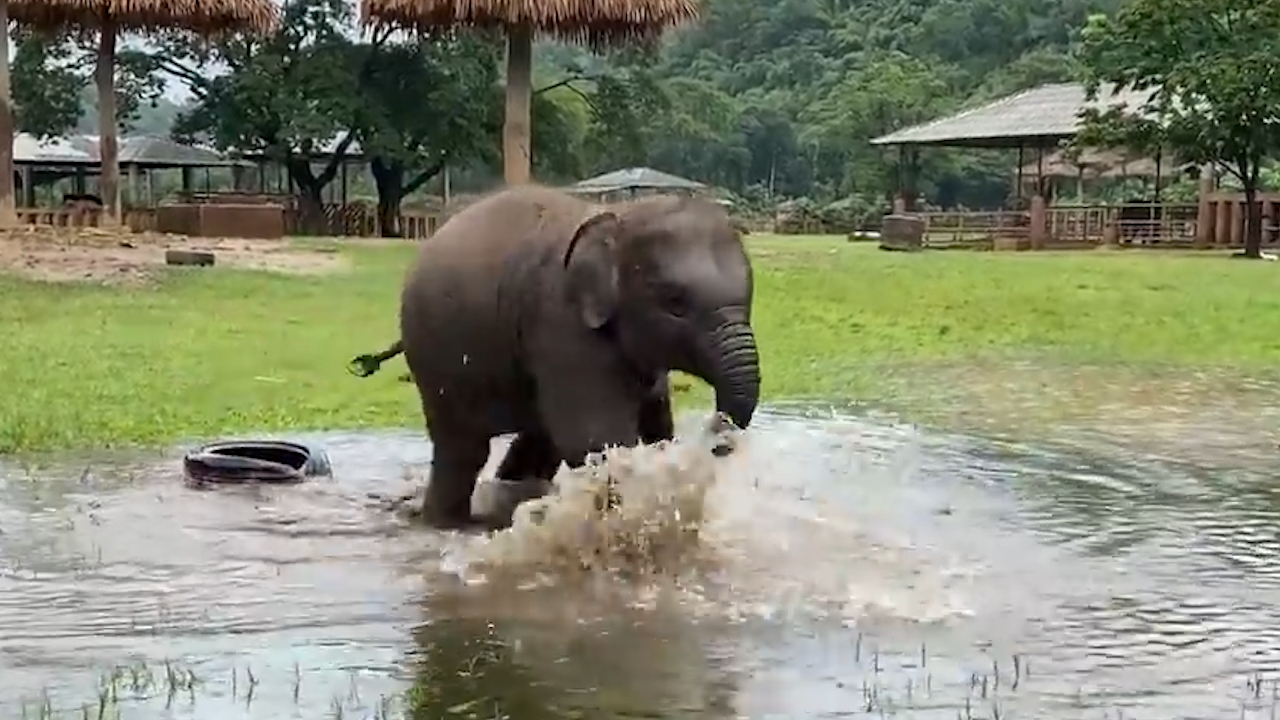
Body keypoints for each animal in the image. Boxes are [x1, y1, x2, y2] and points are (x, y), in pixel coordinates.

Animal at [350, 184, 761, 530]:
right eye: (675, 305)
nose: (716, 430)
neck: (621, 217)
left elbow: (653, 424)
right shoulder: (561, 321)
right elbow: (597, 439)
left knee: (535, 441)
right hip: (436, 353)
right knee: (464, 448)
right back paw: (446, 524)